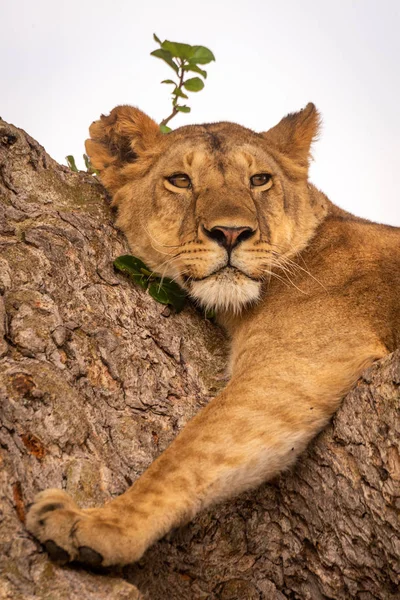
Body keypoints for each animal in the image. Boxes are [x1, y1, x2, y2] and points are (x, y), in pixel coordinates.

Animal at [25, 103, 400, 568]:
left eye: (259, 179)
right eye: (181, 180)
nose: (231, 233)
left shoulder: (294, 364)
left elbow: (189, 453)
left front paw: (100, 526)